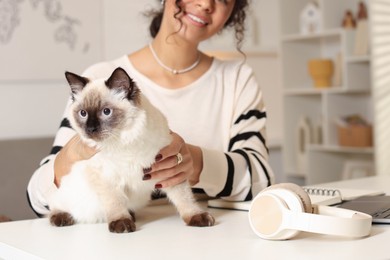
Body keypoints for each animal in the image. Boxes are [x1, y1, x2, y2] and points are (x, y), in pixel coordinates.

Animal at [48, 67, 216, 234]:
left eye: (106, 112)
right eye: (83, 113)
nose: (90, 129)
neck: (124, 140)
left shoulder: (169, 169)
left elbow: (184, 199)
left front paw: (197, 217)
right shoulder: (105, 177)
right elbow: (115, 202)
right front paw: (121, 224)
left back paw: (132, 215)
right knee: (55, 208)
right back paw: (62, 219)